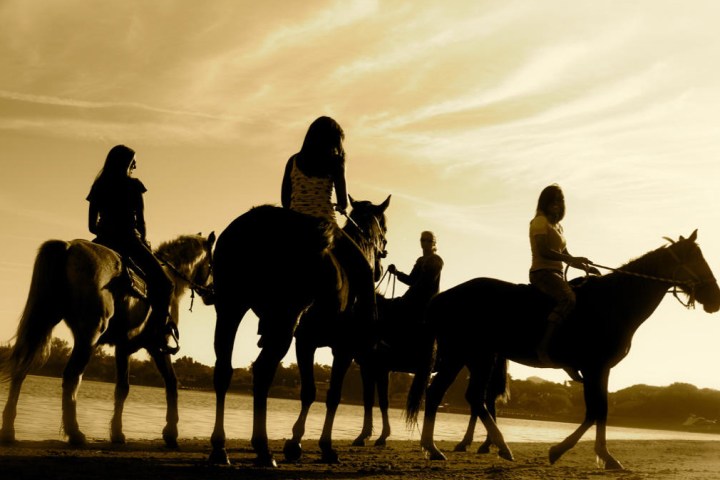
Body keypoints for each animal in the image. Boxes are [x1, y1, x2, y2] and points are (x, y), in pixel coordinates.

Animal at [0, 232, 215, 446]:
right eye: (212, 263)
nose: (212, 294)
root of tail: (68, 247)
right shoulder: (159, 347)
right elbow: (171, 384)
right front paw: (170, 432)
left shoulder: (123, 348)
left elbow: (122, 389)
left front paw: (118, 433)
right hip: (90, 335)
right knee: (72, 376)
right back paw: (75, 433)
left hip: (44, 321)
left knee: (22, 369)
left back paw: (9, 430)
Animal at [205, 194, 390, 464]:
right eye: (384, 228)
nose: (378, 267)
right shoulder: (341, 348)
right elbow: (332, 395)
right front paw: (323, 446)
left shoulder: (306, 341)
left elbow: (310, 392)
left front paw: (296, 443)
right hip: (284, 317)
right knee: (262, 371)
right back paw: (262, 448)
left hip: (231, 307)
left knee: (223, 370)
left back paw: (220, 448)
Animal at [408, 232, 716, 468]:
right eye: (697, 259)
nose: (716, 297)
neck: (614, 302)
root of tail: (443, 297)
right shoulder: (595, 368)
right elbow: (596, 411)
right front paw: (573, 452)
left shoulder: (599, 370)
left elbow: (598, 411)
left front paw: (597, 454)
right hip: (462, 353)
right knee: (442, 394)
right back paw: (442, 447)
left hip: (478, 356)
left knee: (467, 397)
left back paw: (474, 446)